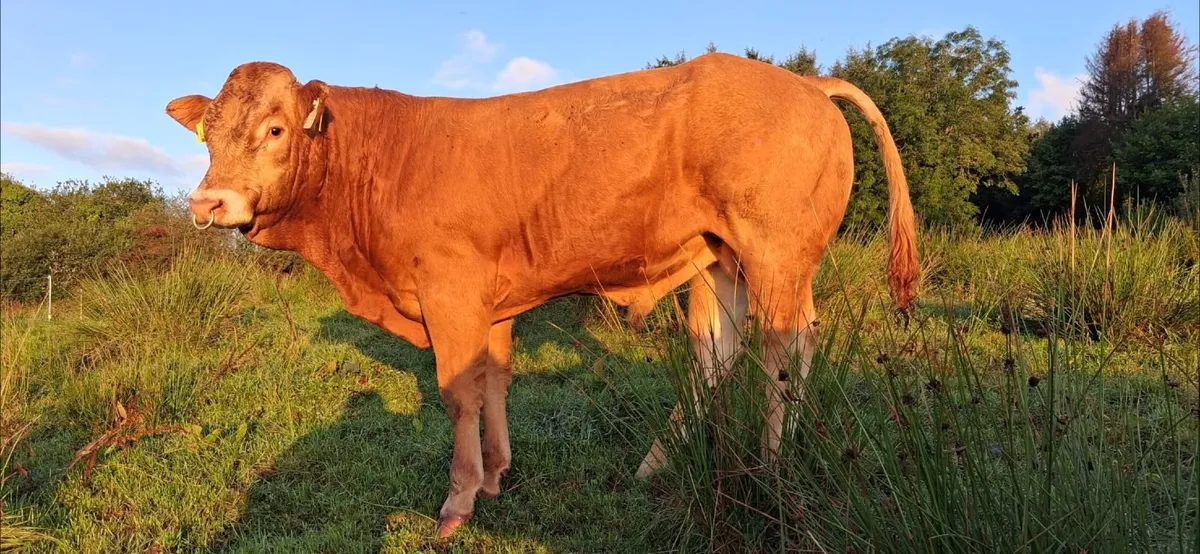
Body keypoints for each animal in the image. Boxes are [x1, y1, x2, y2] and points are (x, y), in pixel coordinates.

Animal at [165, 52, 918, 538]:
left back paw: (770, 473)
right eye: (208, 136)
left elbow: (459, 394)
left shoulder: (451, 292)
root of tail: (805, 83)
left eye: (275, 129)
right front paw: (498, 475)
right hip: (719, 260)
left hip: (776, 256)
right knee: (717, 353)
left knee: (785, 352)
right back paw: (656, 465)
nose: (209, 203)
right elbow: (494, 379)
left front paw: (459, 501)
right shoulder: (492, 302)